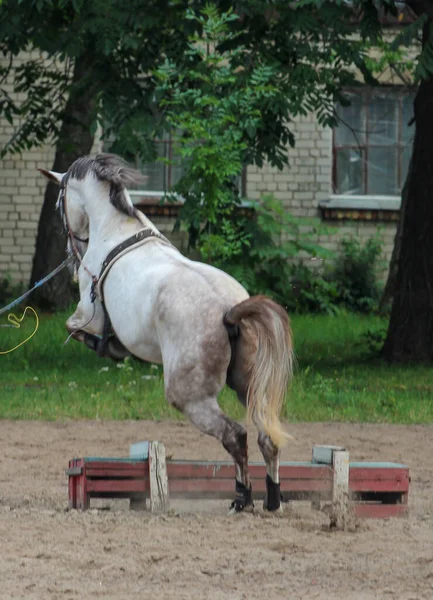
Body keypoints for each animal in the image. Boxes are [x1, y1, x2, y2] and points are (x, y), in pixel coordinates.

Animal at [39, 154, 294, 510]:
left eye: (60, 202)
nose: (71, 256)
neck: (116, 228)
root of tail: (229, 309)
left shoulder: (86, 316)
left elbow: (75, 329)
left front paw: (107, 347)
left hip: (191, 398)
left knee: (236, 436)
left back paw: (242, 499)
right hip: (249, 387)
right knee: (266, 437)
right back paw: (272, 499)